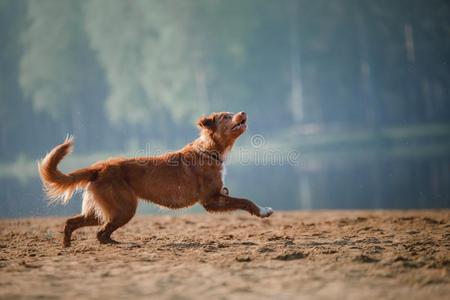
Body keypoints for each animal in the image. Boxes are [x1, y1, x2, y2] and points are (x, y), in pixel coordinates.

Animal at [40, 111, 274, 247]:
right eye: (226, 116)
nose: (243, 112)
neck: (210, 150)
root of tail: (98, 167)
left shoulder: (217, 196)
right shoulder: (211, 199)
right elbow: (245, 201)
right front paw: (263, 211)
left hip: (103, 210)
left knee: (74, 223)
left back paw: (67, 245)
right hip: (124, 209)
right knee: (101, 234)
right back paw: (118, 244)